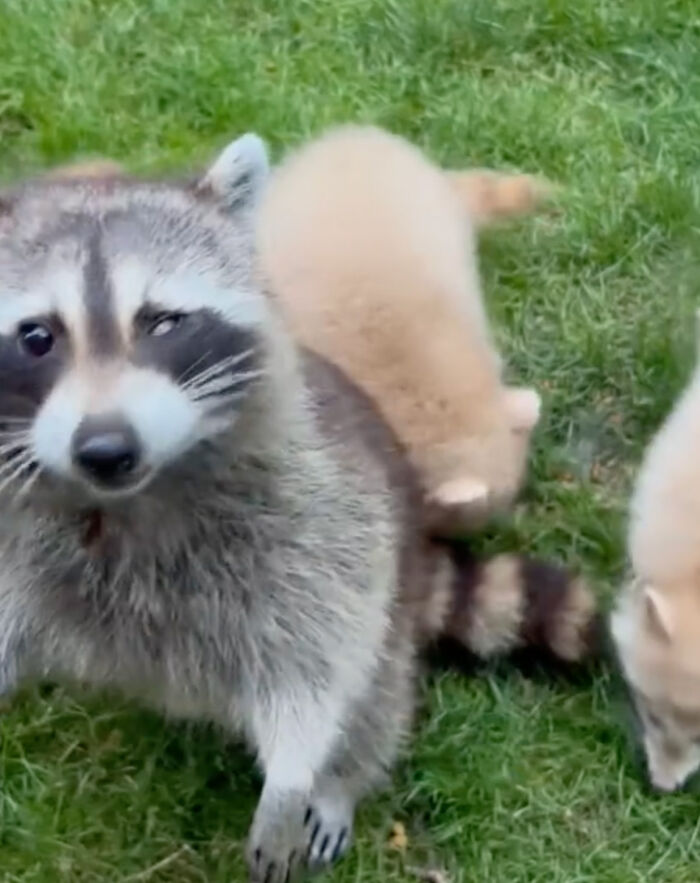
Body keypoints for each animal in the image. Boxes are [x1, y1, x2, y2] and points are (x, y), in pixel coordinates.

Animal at [0, 134, 597, 881]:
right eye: (36, 336)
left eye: (164, 323)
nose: (105, 448)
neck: (131, 499)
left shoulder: (323, 525)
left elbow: (319, 668)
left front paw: (297, 779)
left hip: (385, 586)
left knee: (374, 697)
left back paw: (339, 782)